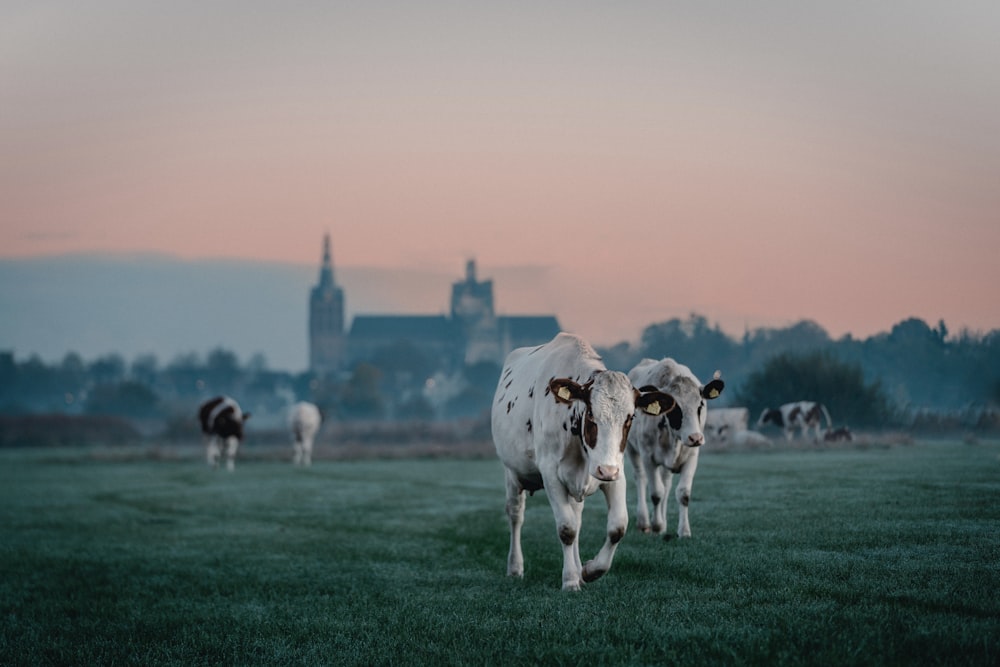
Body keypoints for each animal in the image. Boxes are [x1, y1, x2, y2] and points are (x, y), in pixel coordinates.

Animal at [490, 332, 676, 588]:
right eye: (590, 414)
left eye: (630, 418)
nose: (605, 470)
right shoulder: (551, 475)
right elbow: (566, 529)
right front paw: (570, 580)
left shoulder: (616, 473)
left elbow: (617, 526)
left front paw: (589, 571)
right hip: (512, 473)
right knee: (516, 515)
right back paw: (515, 567)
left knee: (576, 517)